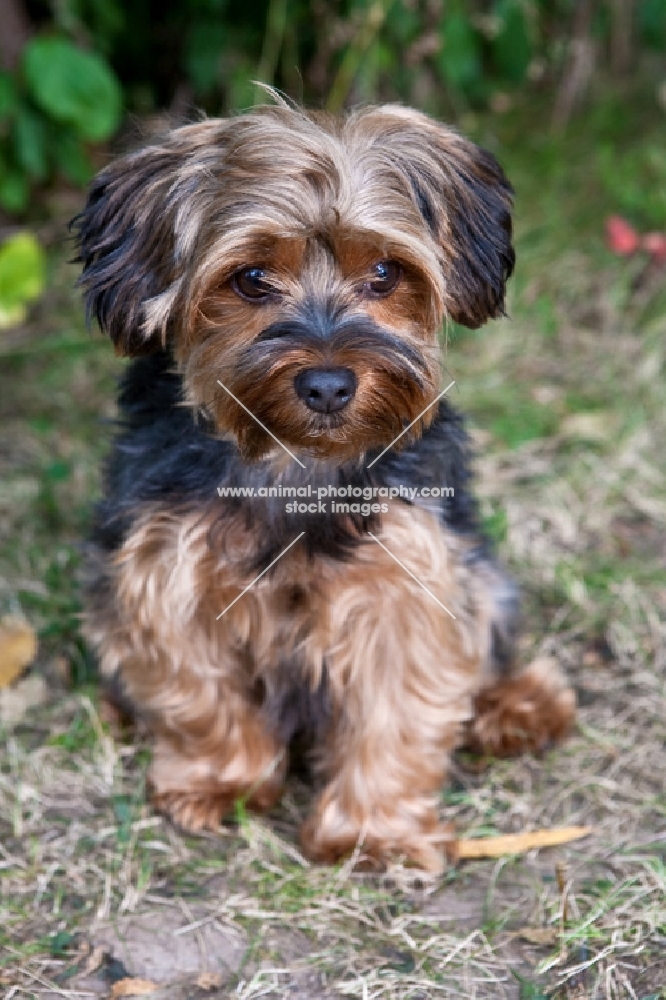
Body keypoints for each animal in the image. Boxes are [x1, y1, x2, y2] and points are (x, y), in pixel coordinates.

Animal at [72, 97, 572, 872]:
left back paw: (520, 707)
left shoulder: (405, 581)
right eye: (250, 278)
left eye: (386, 272)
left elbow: (398, 708)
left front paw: (375, 831)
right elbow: (198, 692)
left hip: (481, 573)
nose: (330, 384)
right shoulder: (163, 567)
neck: (294, 460)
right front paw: (222, 784)